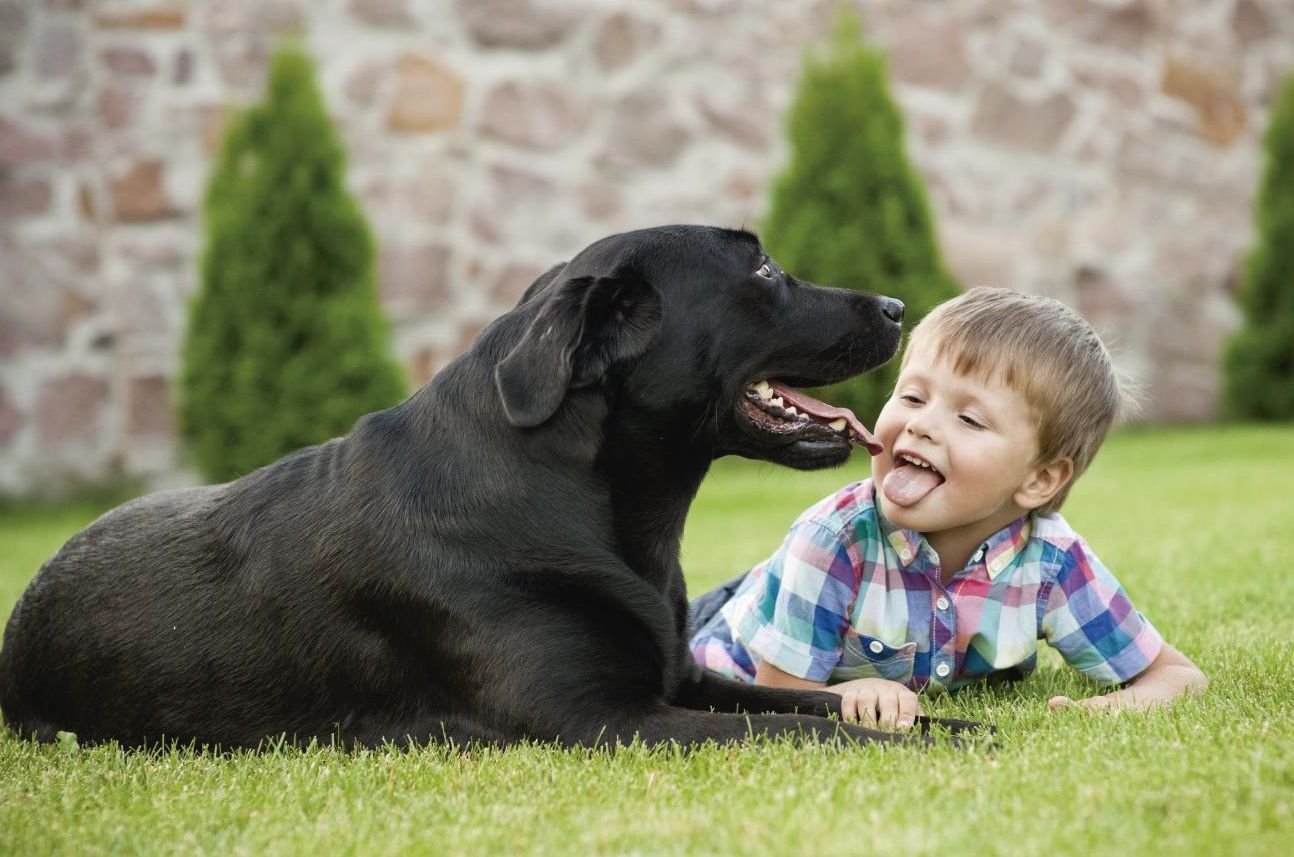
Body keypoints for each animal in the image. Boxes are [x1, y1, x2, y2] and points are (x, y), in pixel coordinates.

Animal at [0, 226, 973, 750]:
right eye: (764, 271)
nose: (897, 306)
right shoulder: (607, 718)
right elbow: (809, 725)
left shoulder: (682, 675)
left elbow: (810, 700)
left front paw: (953, 727)